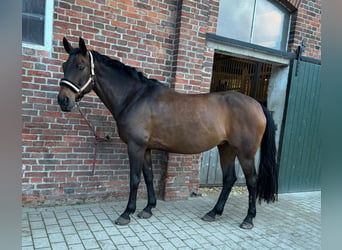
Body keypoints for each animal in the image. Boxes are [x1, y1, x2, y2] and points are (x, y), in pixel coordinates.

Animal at [56, 36, 278, 229]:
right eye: (64, 66)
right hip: (226, 148)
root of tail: (257, 104)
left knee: (251, 181)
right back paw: (213, 213)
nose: (63, 100)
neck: (134, 97)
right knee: (229, 179)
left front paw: (126, 213)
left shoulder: (135, 147)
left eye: (80, 66)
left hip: (245, 153)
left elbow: (134, 179)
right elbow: (148, 176)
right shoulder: (145, 148)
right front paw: (148, 208)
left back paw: (248, 219)